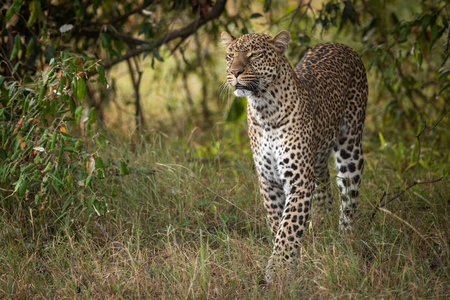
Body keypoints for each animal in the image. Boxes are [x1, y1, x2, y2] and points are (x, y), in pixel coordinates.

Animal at [220, 31, 368, 284]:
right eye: (230, 56)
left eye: (253, 55)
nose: (235, 72)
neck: (264, 110)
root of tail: (340, 45)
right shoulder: (268, 180)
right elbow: (278, 221)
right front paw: (292, 257)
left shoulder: (298, 179)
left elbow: (289, 225)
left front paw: (279, 268)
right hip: (318, 157)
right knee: (323, 187)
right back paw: (322, 227)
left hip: (350, 148)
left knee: (349, 198)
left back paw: (346, 240)